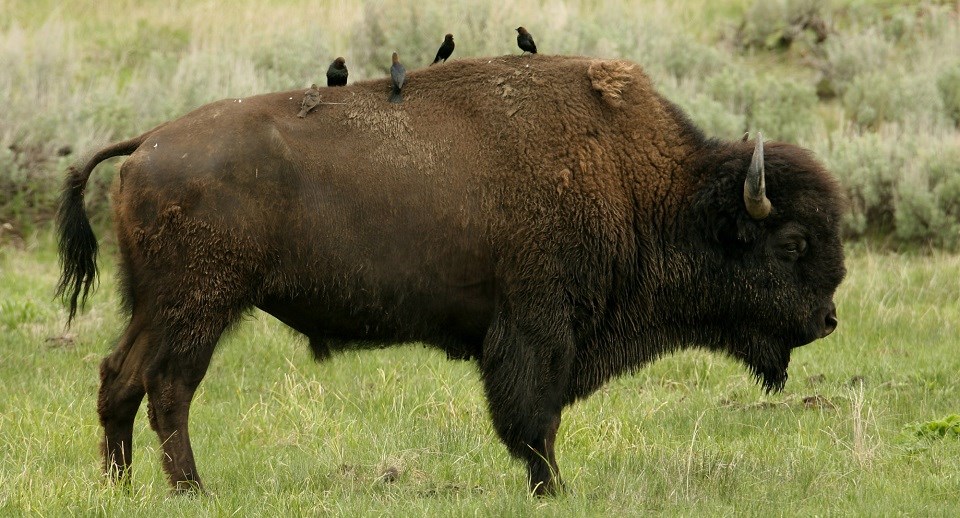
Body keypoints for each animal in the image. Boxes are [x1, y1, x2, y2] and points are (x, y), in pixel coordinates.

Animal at [56, 54, 844, 498]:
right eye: (793, 242)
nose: (829, 320)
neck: (645, 187)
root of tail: (146, 144)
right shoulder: (536, 330)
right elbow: (534, 420)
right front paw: (553, 490)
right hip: (199, 309)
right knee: (169, 391)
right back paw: (192, 491)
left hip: (157, 308)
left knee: (119, 378)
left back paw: (121, 486)